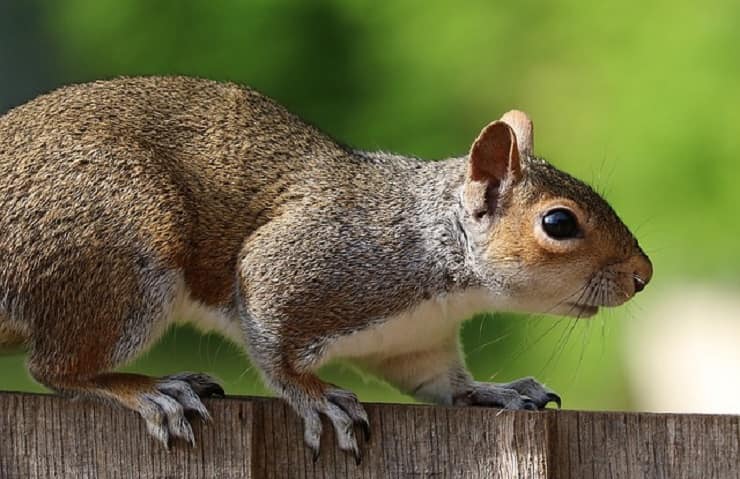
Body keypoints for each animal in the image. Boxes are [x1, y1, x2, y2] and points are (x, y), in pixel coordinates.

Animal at [0, 76, 652, 461]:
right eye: (559, 223)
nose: (643, 275)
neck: (439, 256)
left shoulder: (414, 341)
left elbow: (444, 385)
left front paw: (497, 391)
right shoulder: (304, 261)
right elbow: (276, 346)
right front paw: (315, 397)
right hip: (123, 244)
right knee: (56, 368)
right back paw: (150, 390)